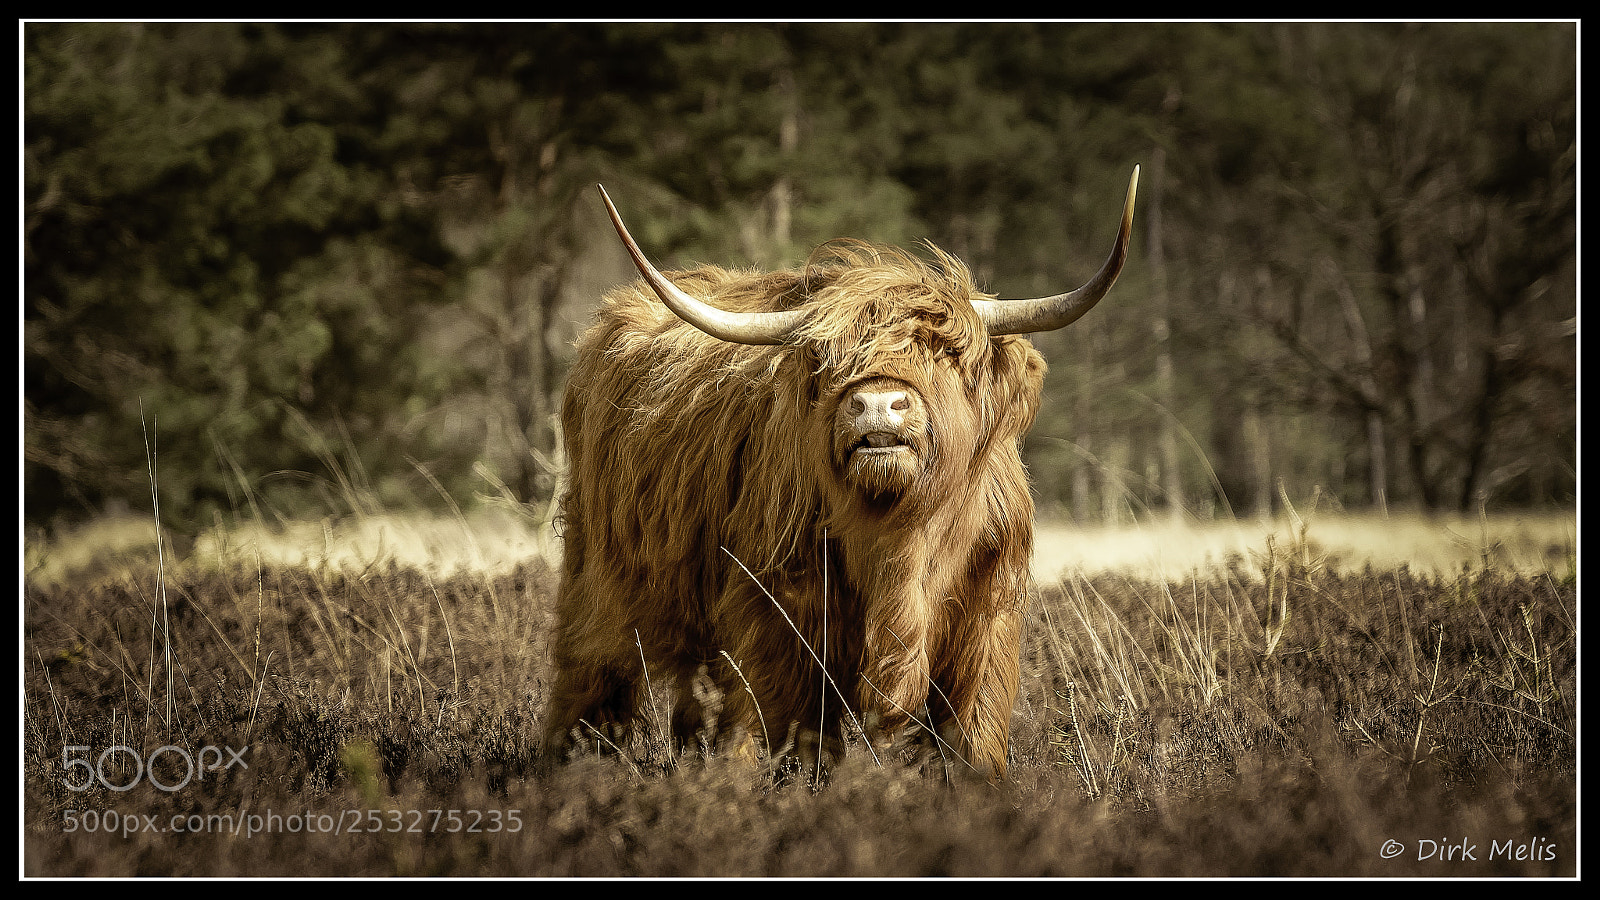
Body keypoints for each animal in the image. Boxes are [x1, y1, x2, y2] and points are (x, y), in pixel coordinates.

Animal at [542, 169, 1138, 781]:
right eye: (831, 360)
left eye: (943, 352)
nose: (877, 404)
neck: (898, 540)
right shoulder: (779, 617)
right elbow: (784, 732)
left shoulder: (986, 616)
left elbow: (973, 735)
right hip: (600, 582)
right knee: (590, 675)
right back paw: (570, 770)